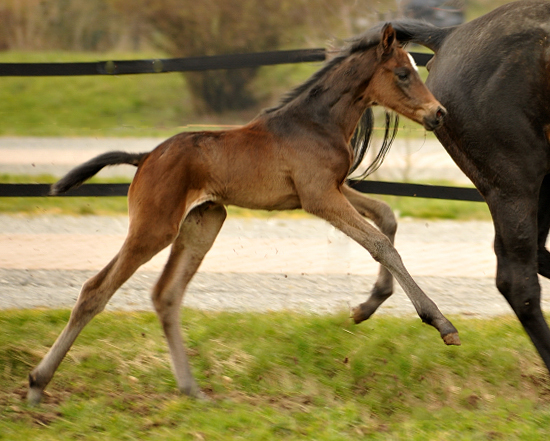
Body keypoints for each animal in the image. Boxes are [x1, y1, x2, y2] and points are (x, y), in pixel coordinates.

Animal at [28, 23, 460, 402]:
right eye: (403, 73)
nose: (439, 113)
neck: (315, 122)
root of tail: (145, 157)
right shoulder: (319, 197)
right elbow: (379, 243)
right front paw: (440, 323)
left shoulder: (332, 189)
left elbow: (386, 217)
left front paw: (366, 307)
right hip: (154, 227)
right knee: (94, 291)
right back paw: (37, 384)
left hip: (204, 222)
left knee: (166, 295)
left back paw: (192, 390)